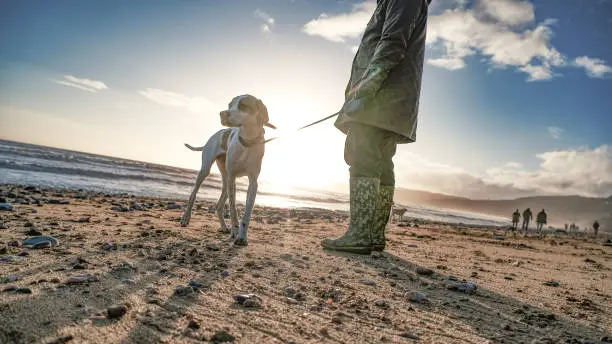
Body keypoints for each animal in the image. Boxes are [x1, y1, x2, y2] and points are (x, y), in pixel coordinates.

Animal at [179, 94, 274, 245]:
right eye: (229, 105)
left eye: (243, 105)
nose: (222, 114)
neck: (247, 142)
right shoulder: (233, 178)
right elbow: (233, 208)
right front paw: (235, 230)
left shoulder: (253, 182)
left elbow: (247, 212)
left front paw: (242, 236)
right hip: (206, 171)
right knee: (193, 195)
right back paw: (185, 218)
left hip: (225, 180)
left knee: (219, 206)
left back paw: (224, 227)